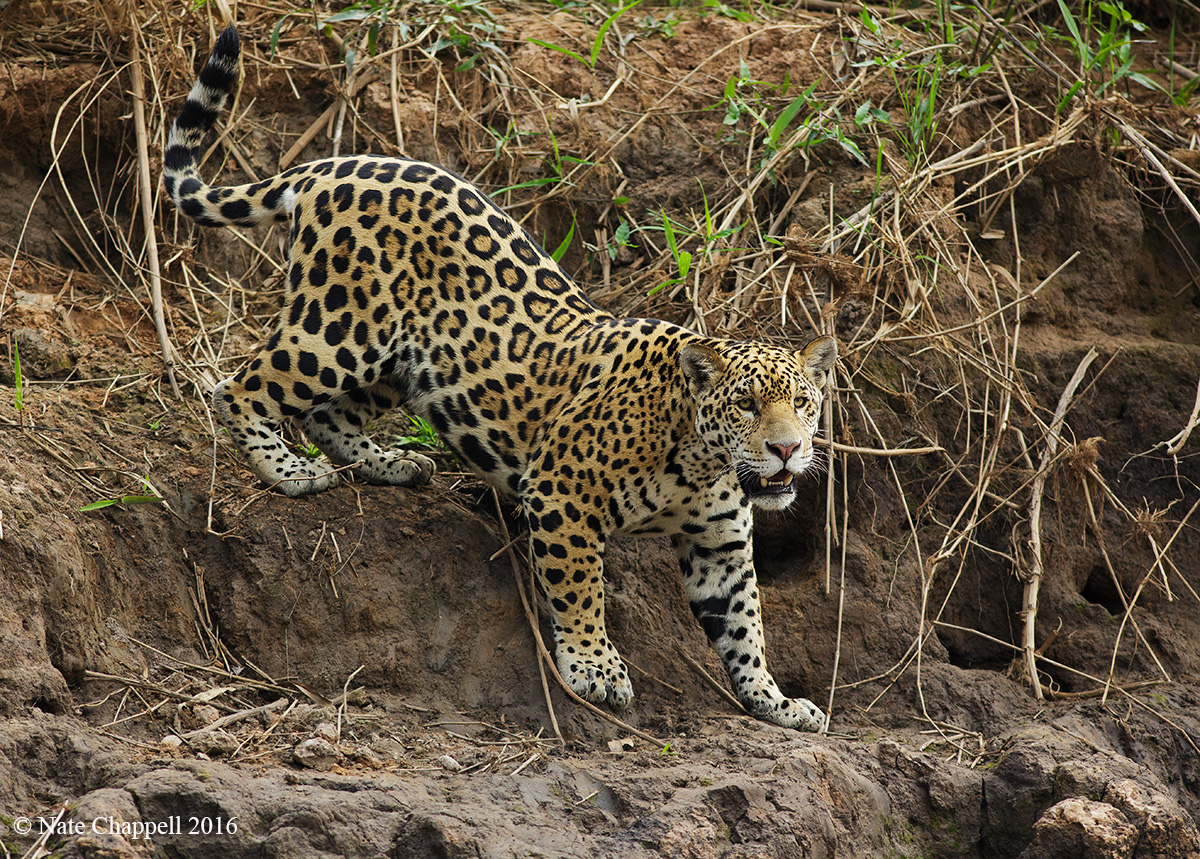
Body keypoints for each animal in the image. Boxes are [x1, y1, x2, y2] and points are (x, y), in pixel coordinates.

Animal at [165, 24, 838, 732]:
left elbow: (745, 628)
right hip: (341, 329)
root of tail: (333, 165)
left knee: (329, 413)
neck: (698, 461)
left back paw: (391, 464)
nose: (787, 449)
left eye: (803, 403)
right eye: (747, 406)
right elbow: (579, 589)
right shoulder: (563, 494)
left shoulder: (721, 549)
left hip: (403, 363)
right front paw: (594, 668)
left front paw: (775, 701)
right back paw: (289, 471)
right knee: (241, 387)